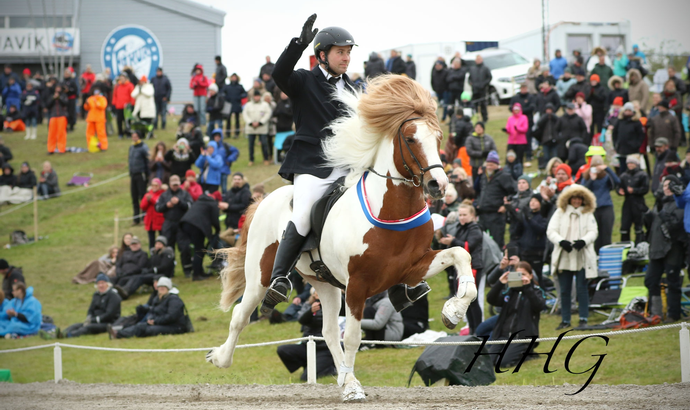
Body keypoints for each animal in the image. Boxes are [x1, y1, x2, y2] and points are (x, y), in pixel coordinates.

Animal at [206, 75, 478, 402]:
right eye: (411, 139)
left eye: (438, 138)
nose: (439, 185)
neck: (391, 210)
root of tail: (264, 200)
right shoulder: (358, 285)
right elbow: (354, 337)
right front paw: (352, 391)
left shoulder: (412, 268)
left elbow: (461, 255)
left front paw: (454, 310)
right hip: (260, 276)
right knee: (241, 315)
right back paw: (221, 357)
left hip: (325, 284)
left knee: (327, 332)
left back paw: (344, 378)